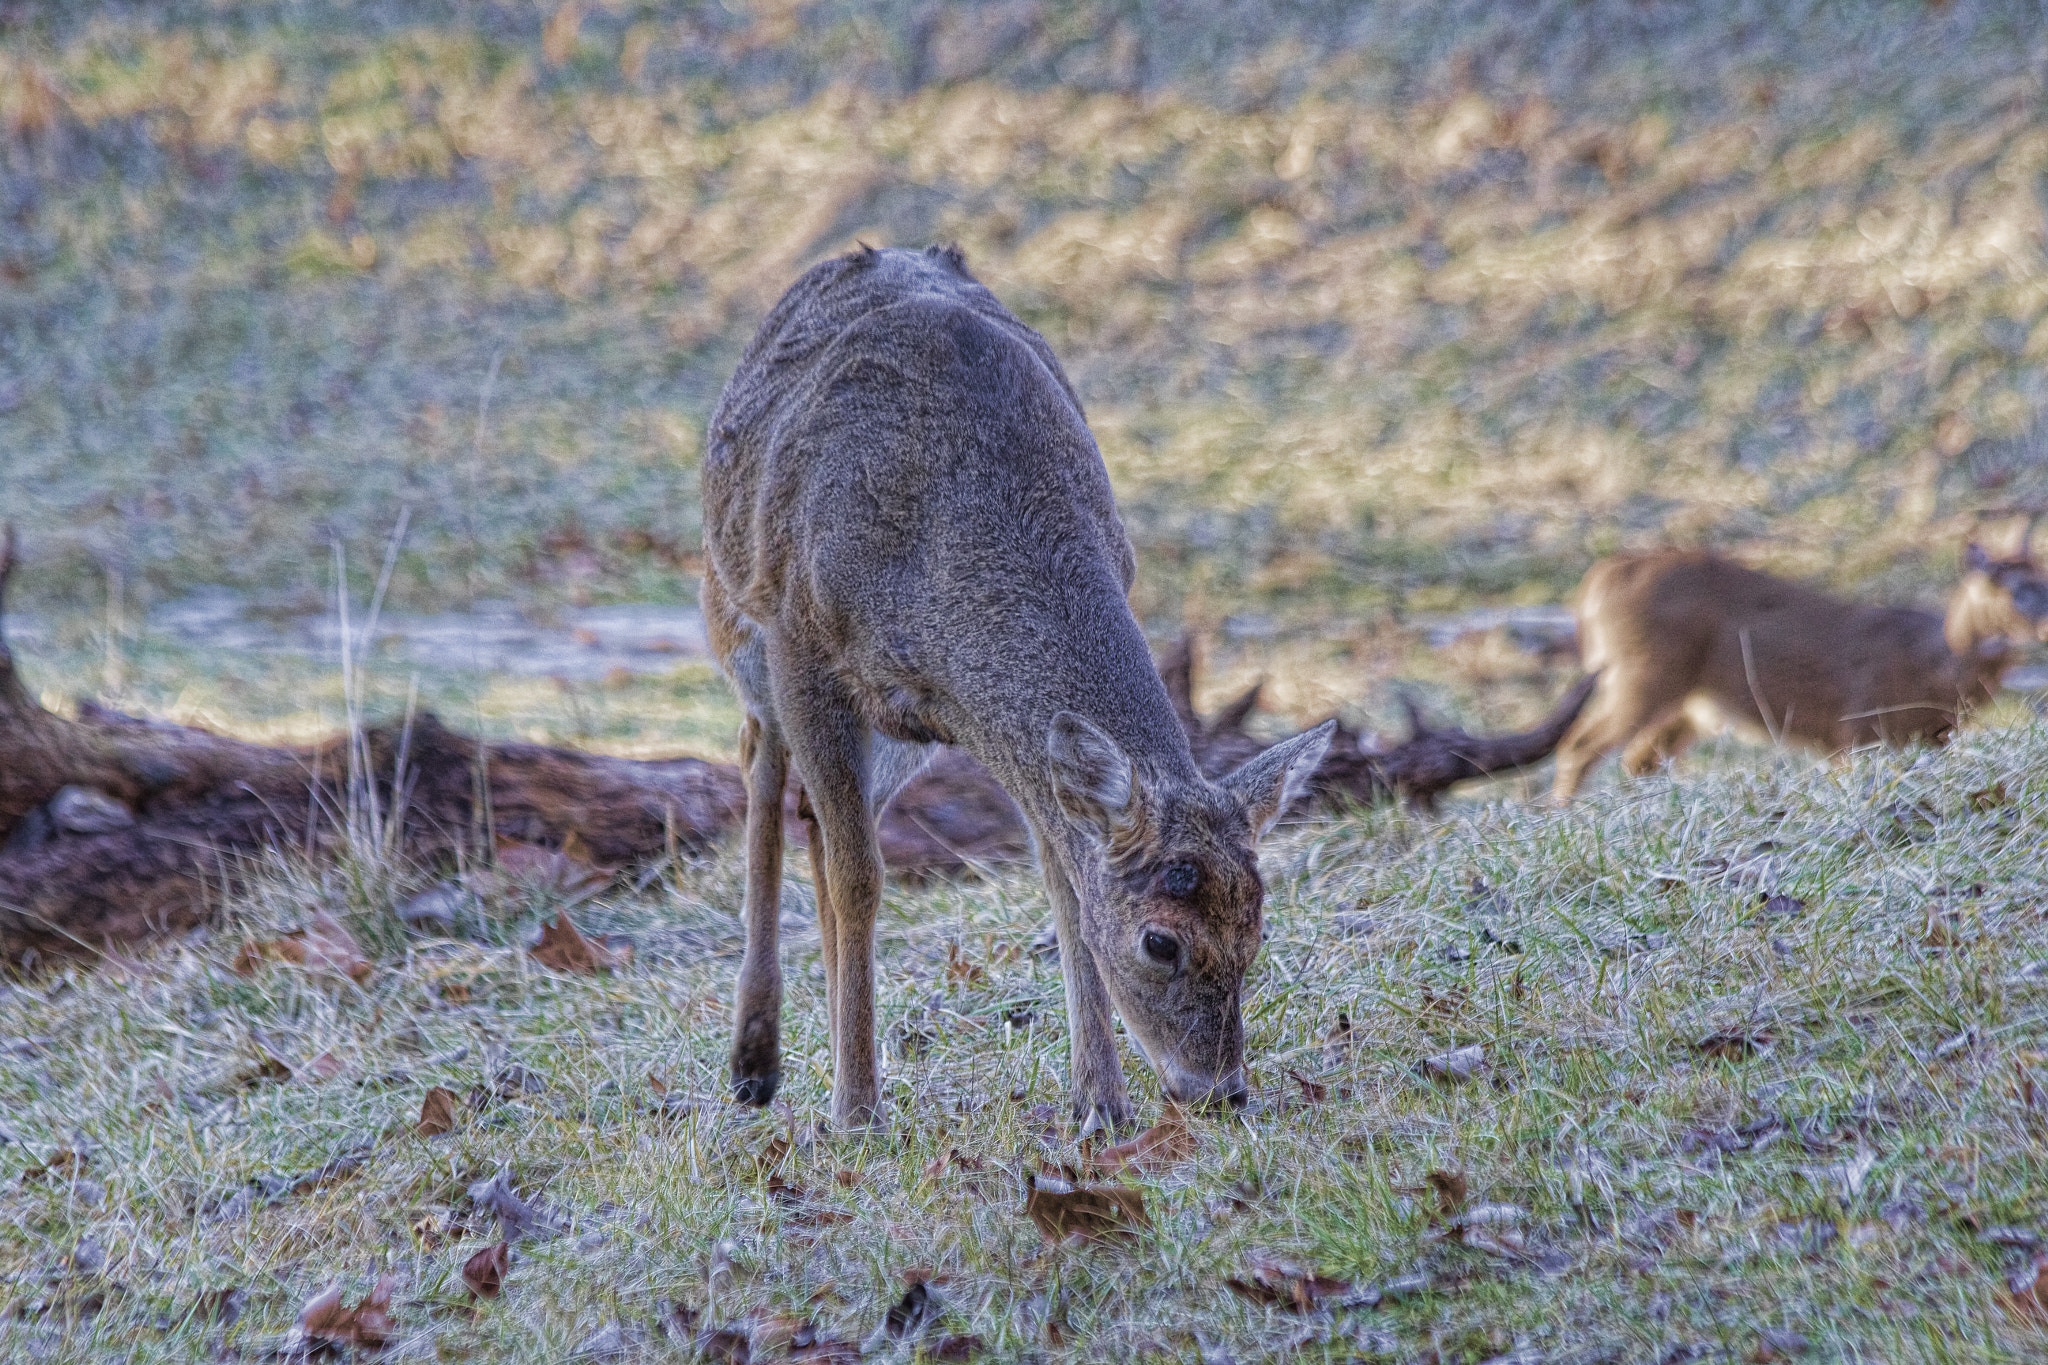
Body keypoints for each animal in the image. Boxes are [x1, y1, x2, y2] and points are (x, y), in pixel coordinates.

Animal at [701, 245, 1333, 1132]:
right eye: (1160, 940)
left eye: (1257, 931)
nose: (1219, 1087)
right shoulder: (801, 638)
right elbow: (863, 878)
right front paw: (856, 1109)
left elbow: (1063, 880)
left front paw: (1099, 1100)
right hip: (735, 616)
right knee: (759, 765)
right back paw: (756, 1063)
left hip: (896, 733)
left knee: (817, 821)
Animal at [1550, 532, 2048, 801]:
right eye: (2016, 588)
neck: (1935, 662)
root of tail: (1602, 576)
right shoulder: (1857, 729)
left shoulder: (1933, 738)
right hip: (1642, 672)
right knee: (1580, 745)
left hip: (1689, 700)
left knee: (1639, 758)